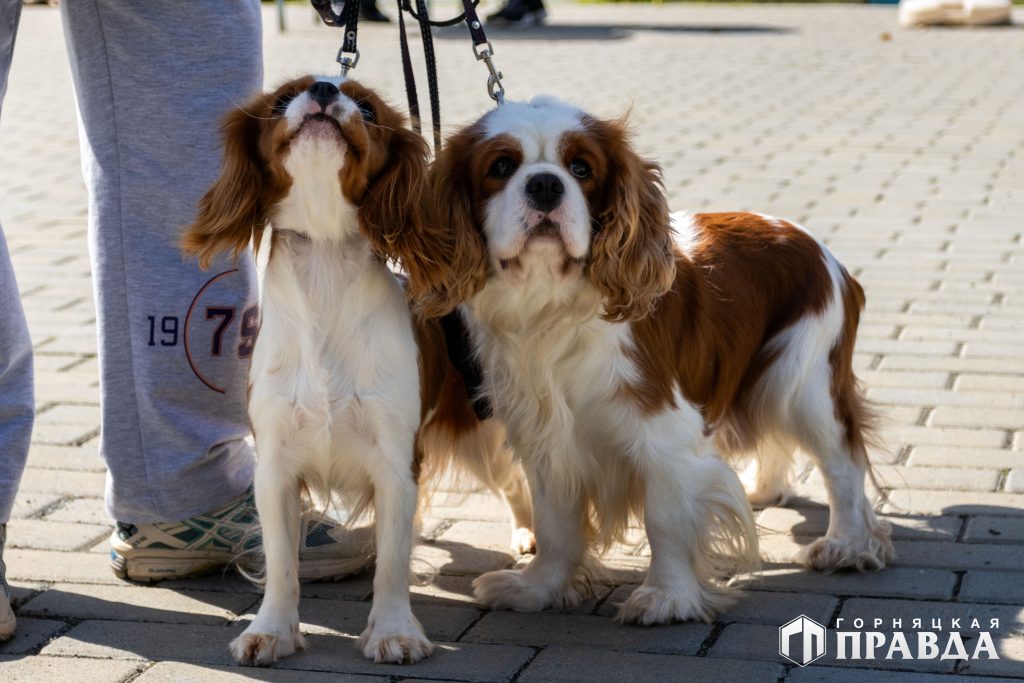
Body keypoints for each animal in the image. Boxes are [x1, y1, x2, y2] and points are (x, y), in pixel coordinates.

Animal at [183, 77, 532, 663]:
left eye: (367, 110)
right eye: (283, 100)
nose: (325, 89)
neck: (325, 259)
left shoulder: (396, 461)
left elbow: (391, 562)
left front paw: (393, 631)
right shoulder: (275, 465)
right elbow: (281, 563)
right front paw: (271, 631)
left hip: (485, 438)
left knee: (520, 481)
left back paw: (532, 539)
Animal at [395, 98, 892, 626]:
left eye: (582, 169)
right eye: (501, 167)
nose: (545, 184)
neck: (550, 304)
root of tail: (822, 251)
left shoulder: (664, 434)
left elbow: (666, 518)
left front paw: (667, 596)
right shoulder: (546, 435)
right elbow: (554, 523)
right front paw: (539, 588)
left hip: (803, 381)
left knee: (841, 461)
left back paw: (847, 545)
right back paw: (766, 490)